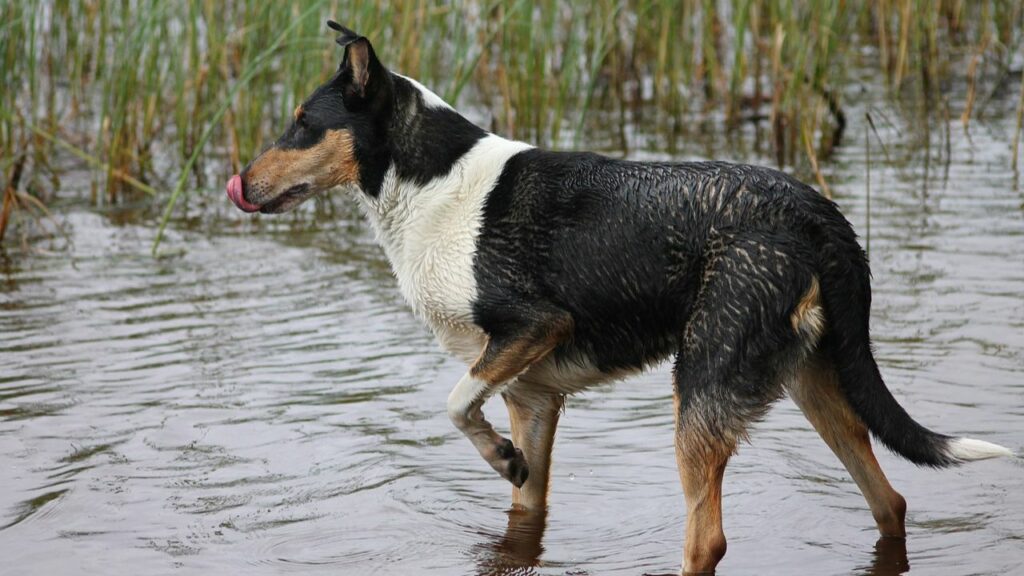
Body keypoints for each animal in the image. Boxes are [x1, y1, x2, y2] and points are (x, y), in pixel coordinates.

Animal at [224, 21, 1007, 569]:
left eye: (303, 122)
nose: (240, 183)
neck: (430, 185)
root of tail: (818, 214)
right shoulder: (532, 396)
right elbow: (522, 505)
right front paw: (508, 461)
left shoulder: (531, 327)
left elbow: (452, 402)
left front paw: (496, 454)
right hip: (813, 385)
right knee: (890, 501)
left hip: (702, 388)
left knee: (708, 541)